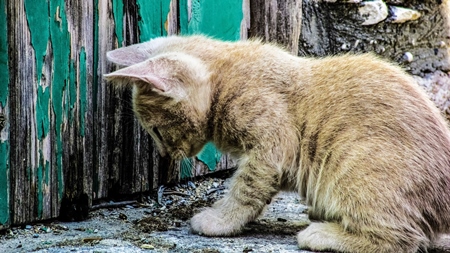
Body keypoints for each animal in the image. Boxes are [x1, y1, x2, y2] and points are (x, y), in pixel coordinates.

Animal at [104, 36, 450, 253]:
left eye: (156, 131)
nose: (165, 154)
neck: (227, 78)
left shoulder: (271, 149)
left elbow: (245, 190)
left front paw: (219, 220)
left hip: (357, 165)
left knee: (403, 238)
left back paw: (321, 235)